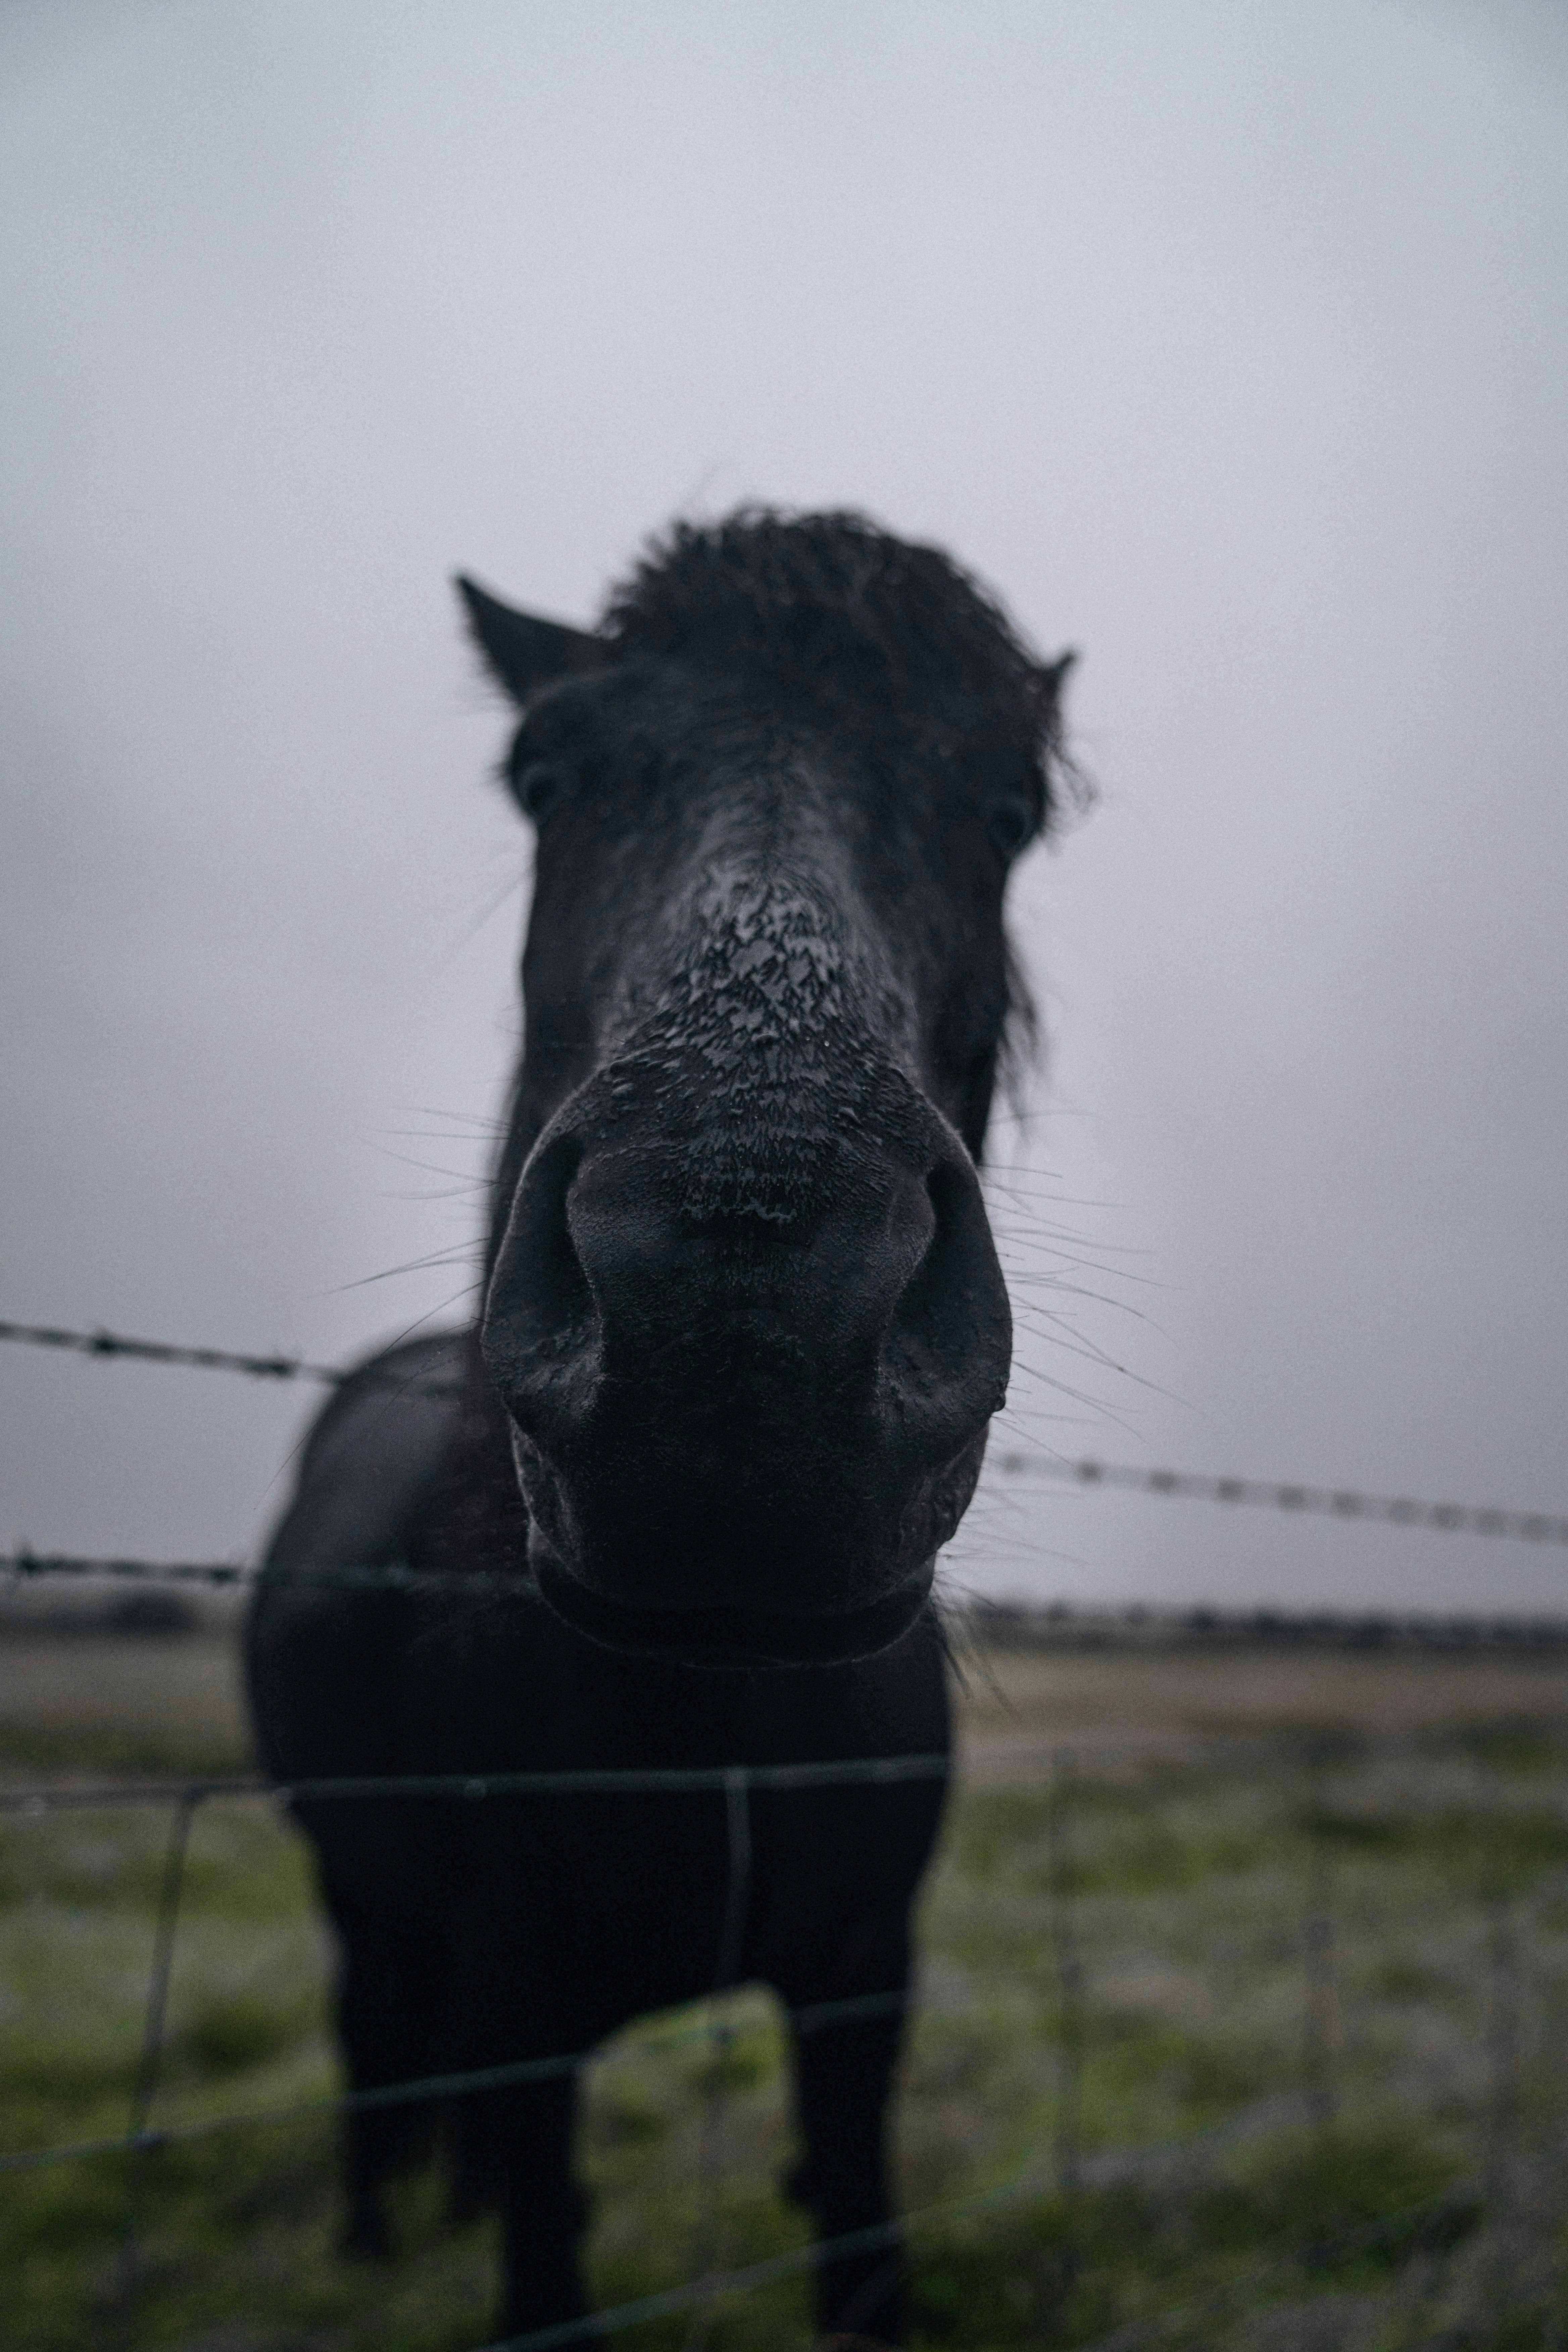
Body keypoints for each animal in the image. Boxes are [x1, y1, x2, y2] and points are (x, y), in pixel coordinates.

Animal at [245, 508, 1075, 2344]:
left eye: (1010, 808)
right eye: (540, 772)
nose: (742, 1304)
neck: (708, 1718)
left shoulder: (861, 1986)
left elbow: (854, 2235)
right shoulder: (517, 1999)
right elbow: (541, 2247)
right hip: (357, 1893)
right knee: (371, 2043)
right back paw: (363, 2240)